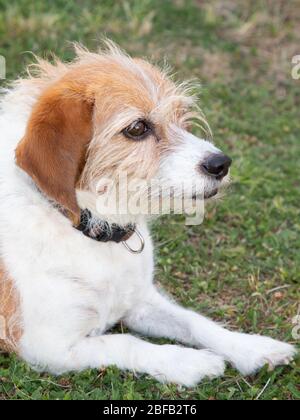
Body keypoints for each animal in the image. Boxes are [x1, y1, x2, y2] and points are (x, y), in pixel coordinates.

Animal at [0, 42, 296, 388]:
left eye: (180, 118)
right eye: (137, 128)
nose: (221, 164)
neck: (87, 228)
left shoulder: (141, 300)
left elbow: (194, 320)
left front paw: (252, 347)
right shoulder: (47, 346)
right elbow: (125, 342)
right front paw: (188, 361)